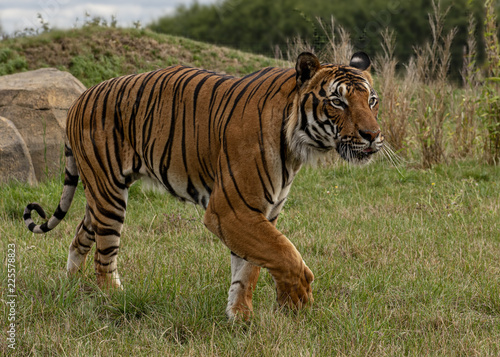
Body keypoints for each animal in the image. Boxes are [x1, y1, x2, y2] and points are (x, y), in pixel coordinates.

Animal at [23, 50, 382, 320]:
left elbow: (250, 268)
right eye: (337, 102)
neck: (296, 143)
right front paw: (296, 301)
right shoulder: (231, 210)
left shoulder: (261, 213)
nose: (373, 135)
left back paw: (71, 286)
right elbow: (284, 253)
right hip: (110, 196)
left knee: (80, 236)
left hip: (99, 195)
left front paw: (241, 318)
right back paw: (114, 298)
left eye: (372, 101)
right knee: (104, 256)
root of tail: (79, 97)